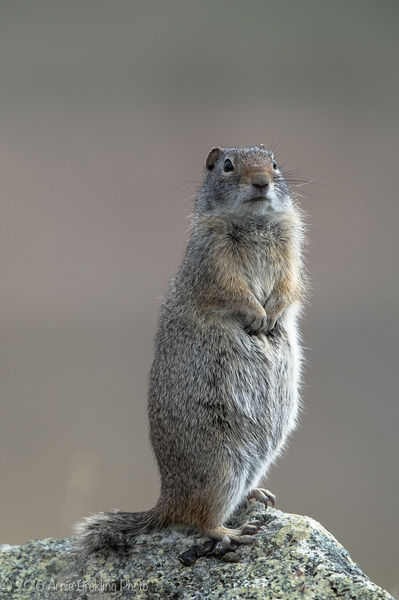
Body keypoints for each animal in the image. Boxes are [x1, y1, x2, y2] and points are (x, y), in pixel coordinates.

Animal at [77, 145, 306, 552]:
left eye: (275, 164)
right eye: (228, 165)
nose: (261, 181)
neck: (255, 223)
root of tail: (167, 499)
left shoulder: (292, 249)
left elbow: (289, 285)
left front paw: (272, 315)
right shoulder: (213, 259)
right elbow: (231, 289)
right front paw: (257, 315)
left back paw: (257, 496)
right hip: (221, 467)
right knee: (200, 518)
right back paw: (232, 532)